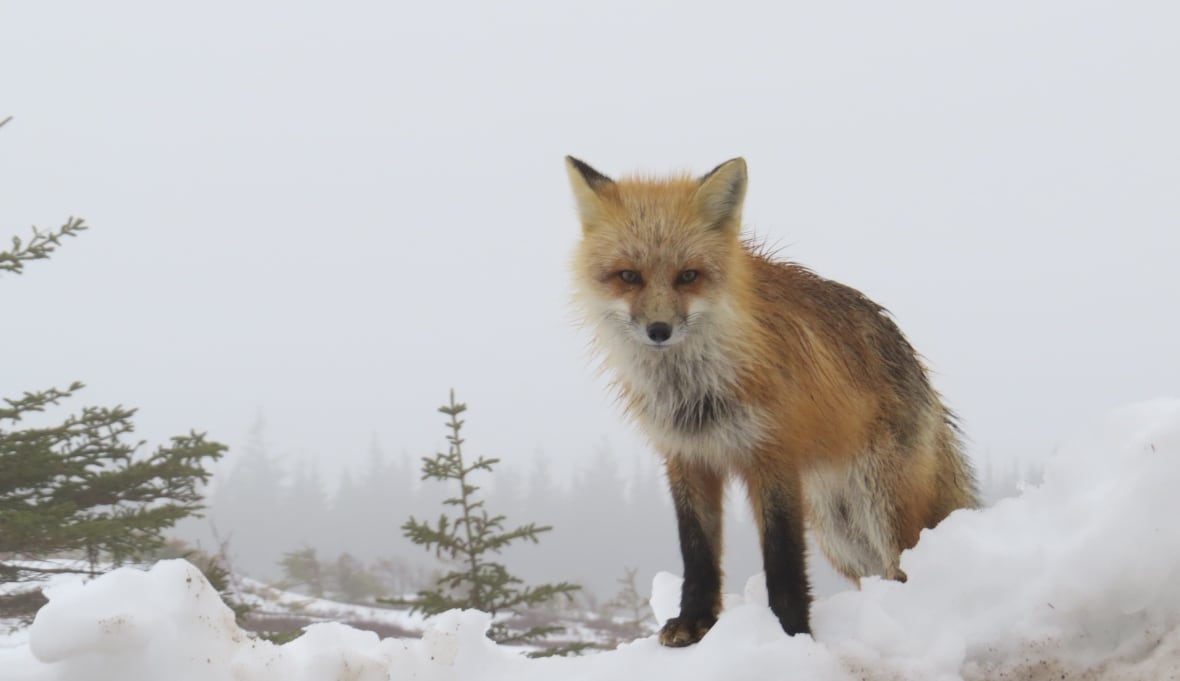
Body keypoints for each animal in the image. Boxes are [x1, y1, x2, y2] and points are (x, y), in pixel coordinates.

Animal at [561, 156, 977, 646]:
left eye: (688, 276)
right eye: (629, 276)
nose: (659, 330)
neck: (698, 391)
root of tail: (916, 366)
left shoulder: (773, 457)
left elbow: (783, 560)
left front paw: (791, 633)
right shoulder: (687, 457)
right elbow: (697, 553)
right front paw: (694, 623)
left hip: (882, 510)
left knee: (907, 565)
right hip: (842, 531)